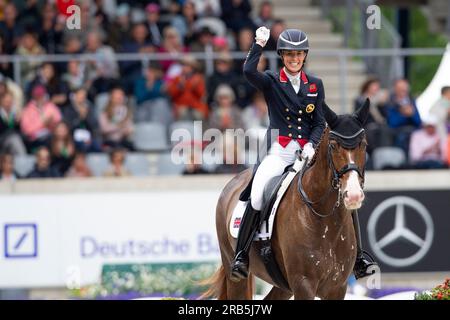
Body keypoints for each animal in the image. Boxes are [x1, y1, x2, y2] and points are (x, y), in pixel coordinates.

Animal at [202, 100, 370, 300]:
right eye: (333, 146)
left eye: (364, 145)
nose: (354, 195)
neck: (321, 214)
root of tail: (234, 182)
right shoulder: (303, 284)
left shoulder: (337, 287)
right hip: (234, 271)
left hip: (284, 285)